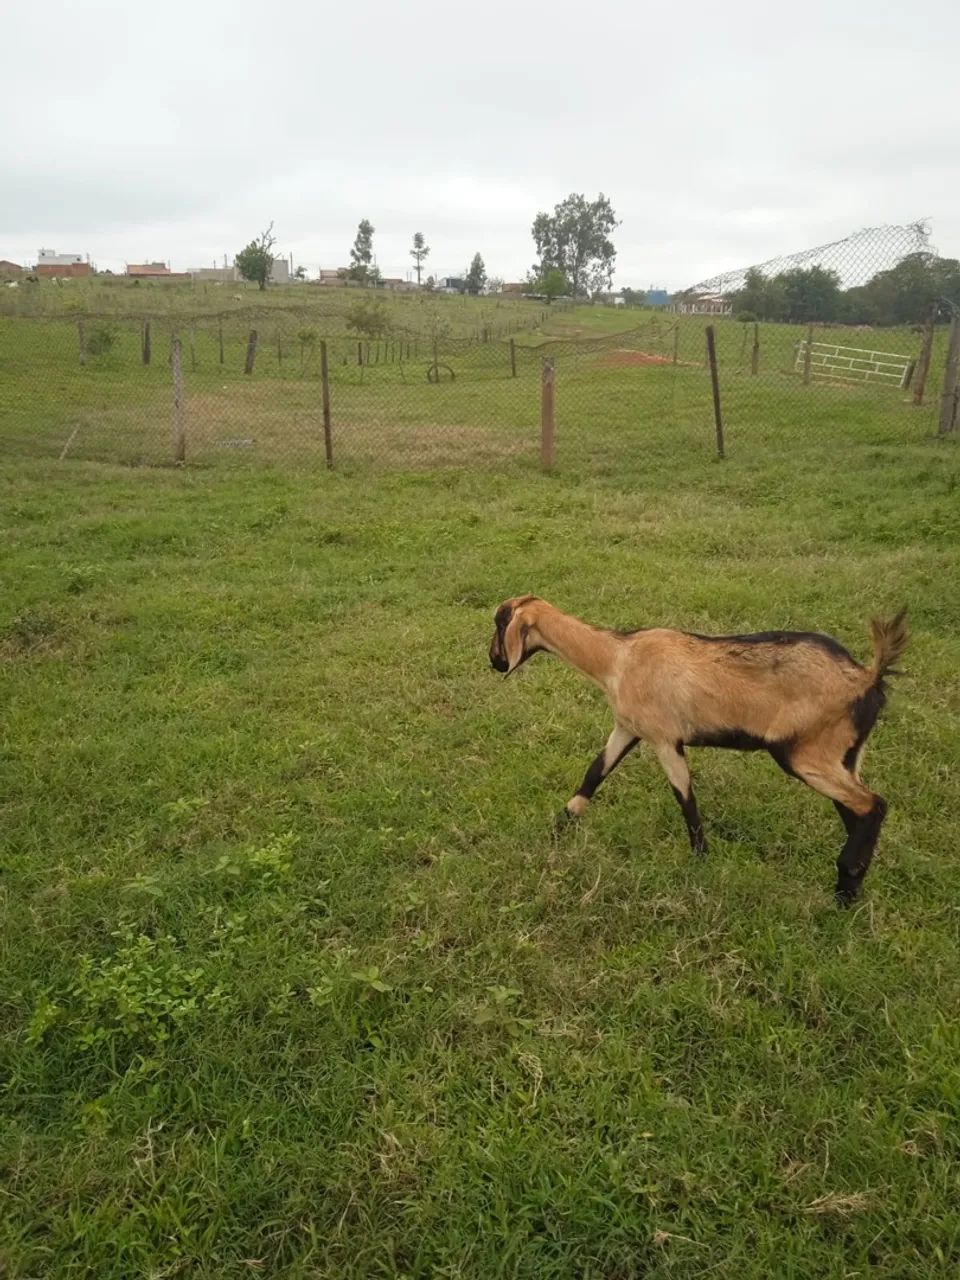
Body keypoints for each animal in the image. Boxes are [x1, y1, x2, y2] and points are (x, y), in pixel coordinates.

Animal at [489, 597, 908, 905]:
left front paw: (700, 861)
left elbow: (686, 801)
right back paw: (851, 886)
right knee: (857, 812)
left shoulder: (665, 739)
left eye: (499, 623)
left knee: (872, 805)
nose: (494, 661)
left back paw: (844, 889)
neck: (617, 658)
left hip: (807, 754)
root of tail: (867, 677)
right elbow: (594, 774)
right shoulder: (627, 728)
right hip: (844, 757)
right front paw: (557, 829)